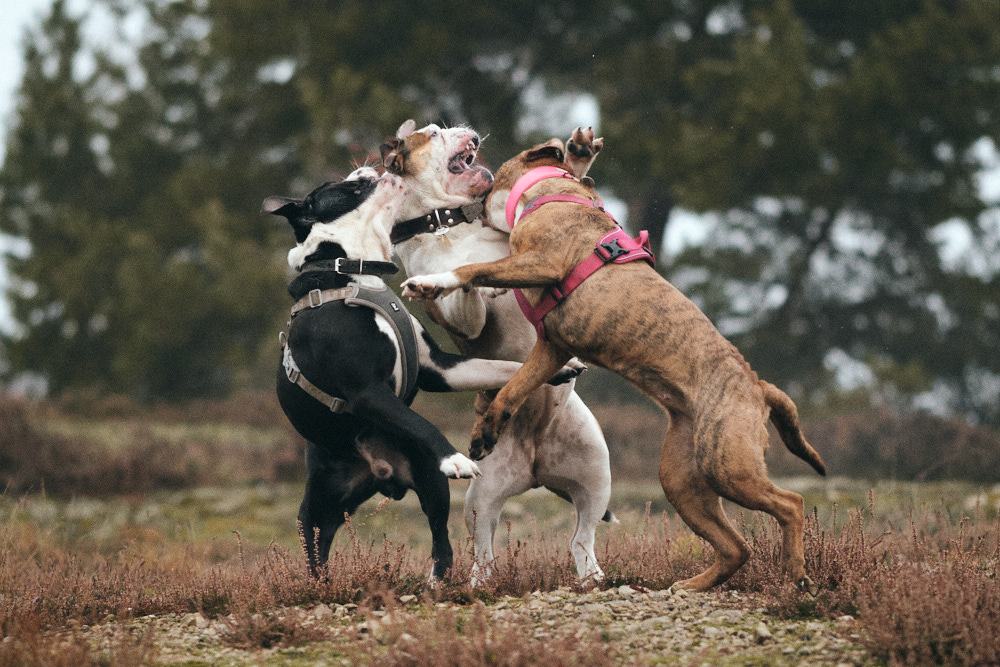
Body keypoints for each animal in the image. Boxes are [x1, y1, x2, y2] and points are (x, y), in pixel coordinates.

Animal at [262, 168, 584, 580]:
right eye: (354, 186)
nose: (375, 170)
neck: (351, 274)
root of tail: (378, 472)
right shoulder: (366, 391)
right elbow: (420, 422)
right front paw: (456, 458)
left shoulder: (439, 368)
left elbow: (499, 368)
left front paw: (559, 368)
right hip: (316, 510)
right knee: (317, 550)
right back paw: (323, 587)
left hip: (431, 483)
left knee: (439, 536)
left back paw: (437, 581)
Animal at [382, 121, 616, 584]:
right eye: (432, 134)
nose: (461, 129)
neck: (445, 228)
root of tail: (534, 467)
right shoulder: (460, 316)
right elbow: (464, 291)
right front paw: (477, 286)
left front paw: (578, 154)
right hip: (480, 496)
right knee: (485, 547)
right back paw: (481, 580)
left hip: (596, 472)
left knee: (582, 536)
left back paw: (591, 576)